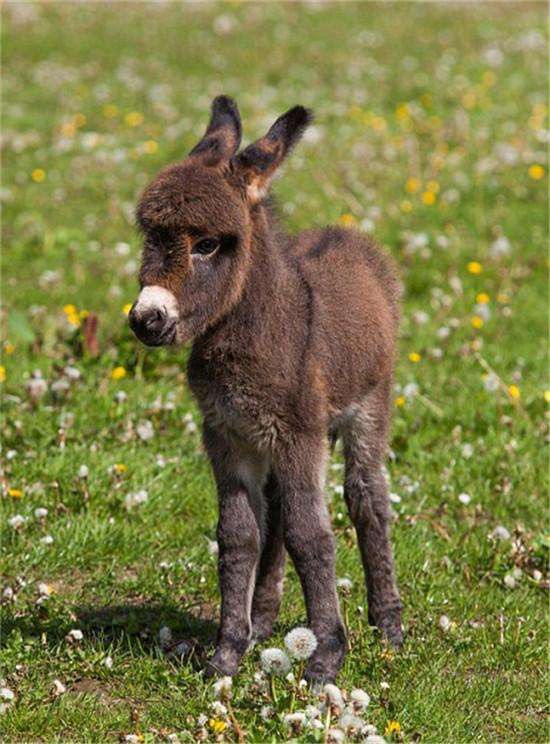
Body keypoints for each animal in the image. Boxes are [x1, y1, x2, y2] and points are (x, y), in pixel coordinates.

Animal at [131, 96, 404, 684]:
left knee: (367, 498)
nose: (146, 320)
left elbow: (310, 535)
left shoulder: (299, 434)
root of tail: (348, 234)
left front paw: (327, 657)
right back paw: (263, 620)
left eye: (208, 244)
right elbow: (238, 535)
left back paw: (389, 625)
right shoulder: (227, 434)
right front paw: (228, 650)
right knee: (277, 509)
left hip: (368, 407)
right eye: (151, 237)